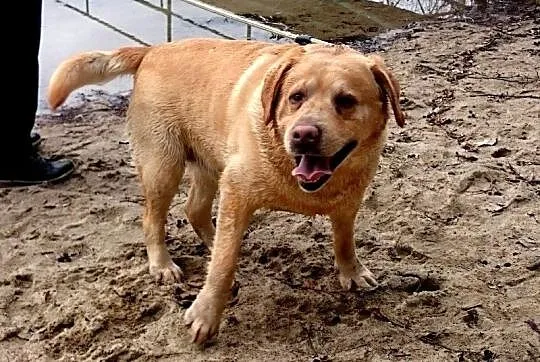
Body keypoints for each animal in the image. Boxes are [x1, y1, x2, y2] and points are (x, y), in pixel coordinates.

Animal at [49, 38, 404, 344]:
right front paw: (206, 314)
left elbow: (344, 241)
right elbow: (223, 265)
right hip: (163, 166)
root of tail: (153, 50)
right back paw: (162, 263)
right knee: (153, 218)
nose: (303, 135)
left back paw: (210, 238)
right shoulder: (237, 190)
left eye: (346, 101)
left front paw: (352, 271)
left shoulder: (350, 200)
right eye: (296, 97)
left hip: (208, 163)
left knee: (195, 210)